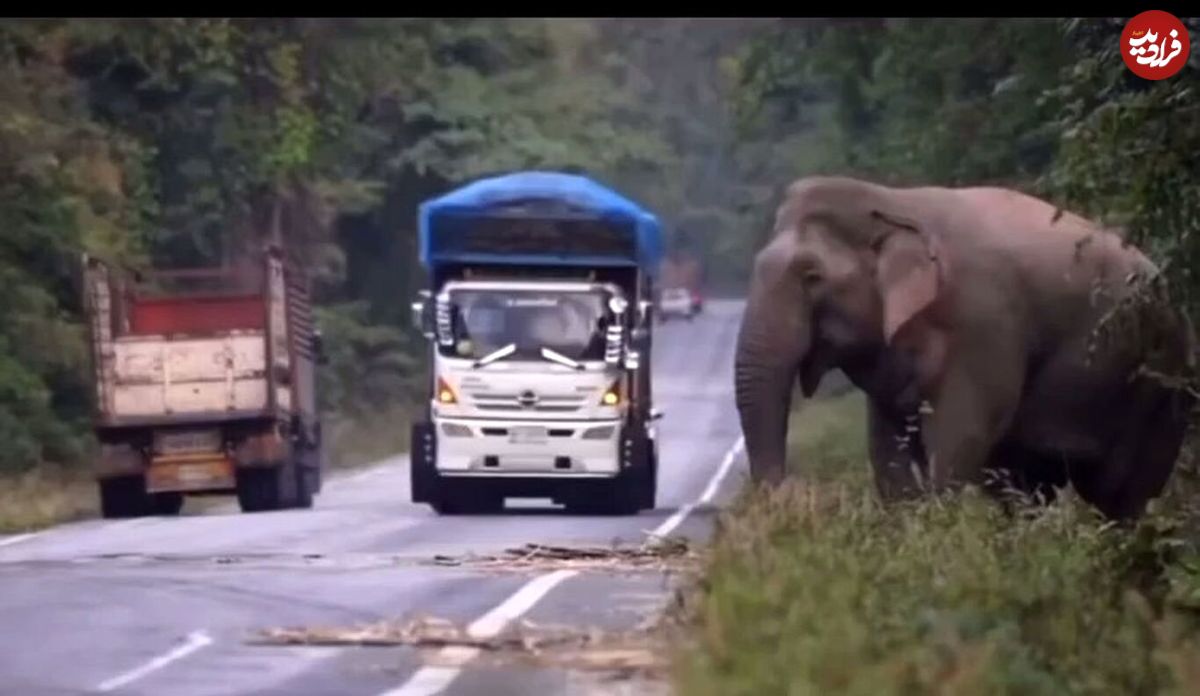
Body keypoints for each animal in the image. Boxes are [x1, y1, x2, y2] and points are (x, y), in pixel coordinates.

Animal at [734, 176, 1195, 518]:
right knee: (1029, 485)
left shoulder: (983, 325)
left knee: (1122, 493)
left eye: (811, 276)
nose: (788, 497)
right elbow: (889, 451)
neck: (893, 201)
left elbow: (959, 438)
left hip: (1159, 376)